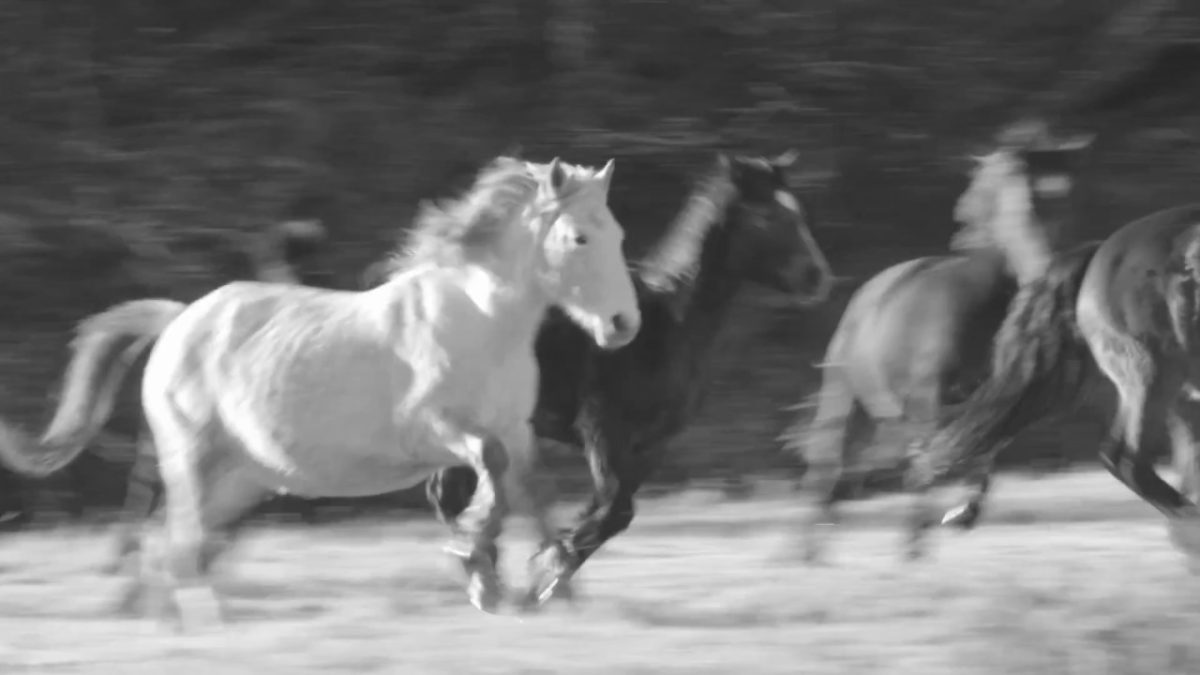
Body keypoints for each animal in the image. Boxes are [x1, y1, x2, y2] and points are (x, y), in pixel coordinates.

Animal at [0, 153, 643, 624]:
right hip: (190, 461)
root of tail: (179, 320)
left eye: (619, 233)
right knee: (181, 542)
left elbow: (532, 494)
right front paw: (476, 561)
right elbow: (492, 472)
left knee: (176, 545)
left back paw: (177, 619)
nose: (623, 325)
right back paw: (206, 622)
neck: (481, 321)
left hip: (243, 479)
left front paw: (543, 591)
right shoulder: (432, 430)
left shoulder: (515, 430)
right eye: (579, 238)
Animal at [422, 152, 835, 605]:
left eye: (797, 212)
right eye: (767, 216)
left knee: (451, 491)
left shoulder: (652, 445)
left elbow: (612, 513)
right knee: (448, 493)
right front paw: (548, 571)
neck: (669, 325)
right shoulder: (603, 431)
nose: (818, 278)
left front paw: (552, 570)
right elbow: (614, 509)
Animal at [777, 119, 1099, 557]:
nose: (1050, 272)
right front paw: (917, 540)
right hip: (845, 394)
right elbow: (940, 456)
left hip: (890, 414)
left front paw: (960, 515)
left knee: (866, 465)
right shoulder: (929, 396)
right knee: (830, 466)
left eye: (1071, 199)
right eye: (1024, 202)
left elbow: (982, 452)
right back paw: (808, 553)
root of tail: (867, 294)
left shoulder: (990, 400)